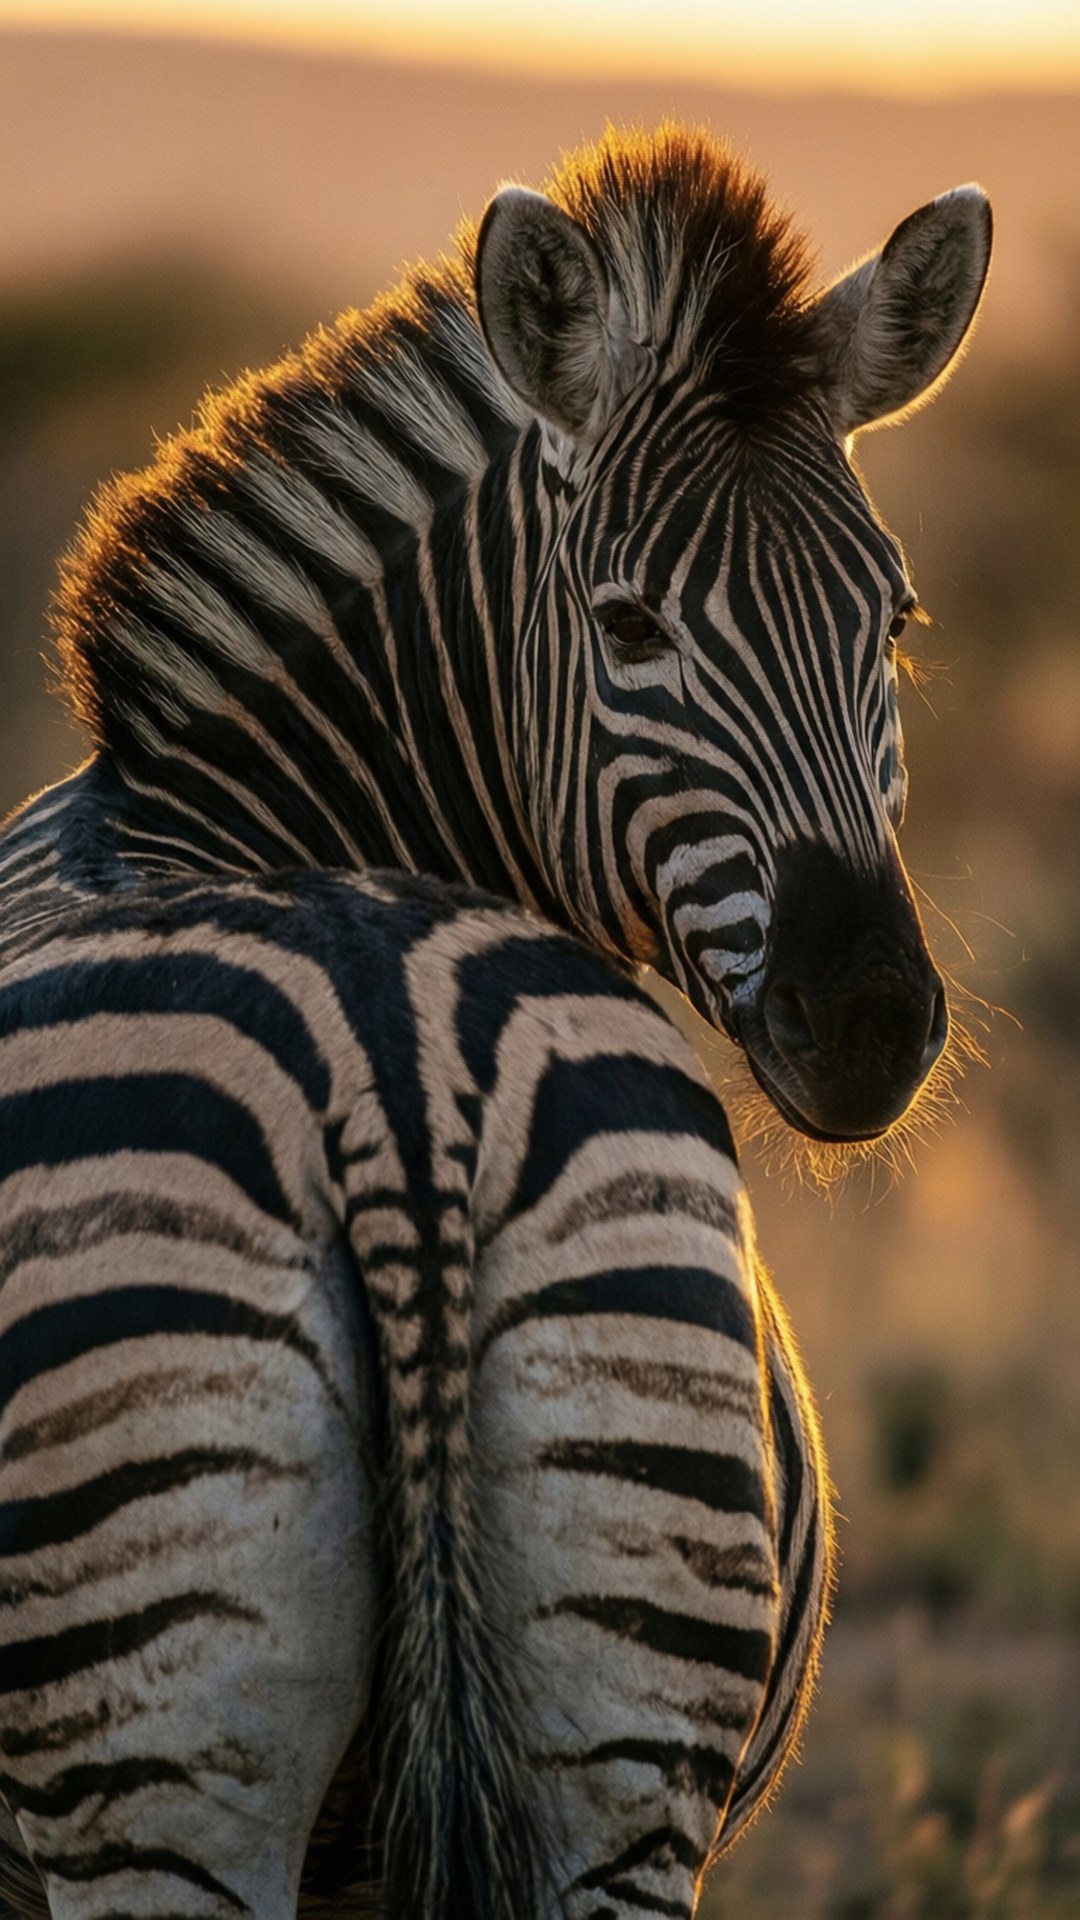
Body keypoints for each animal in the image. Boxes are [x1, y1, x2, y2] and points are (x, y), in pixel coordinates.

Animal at [0, 125, 990, 1918]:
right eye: (629, 627)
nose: (872, 1020)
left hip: (160, 1770)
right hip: (625, 1755)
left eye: (895, 624)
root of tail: (389, 1072)